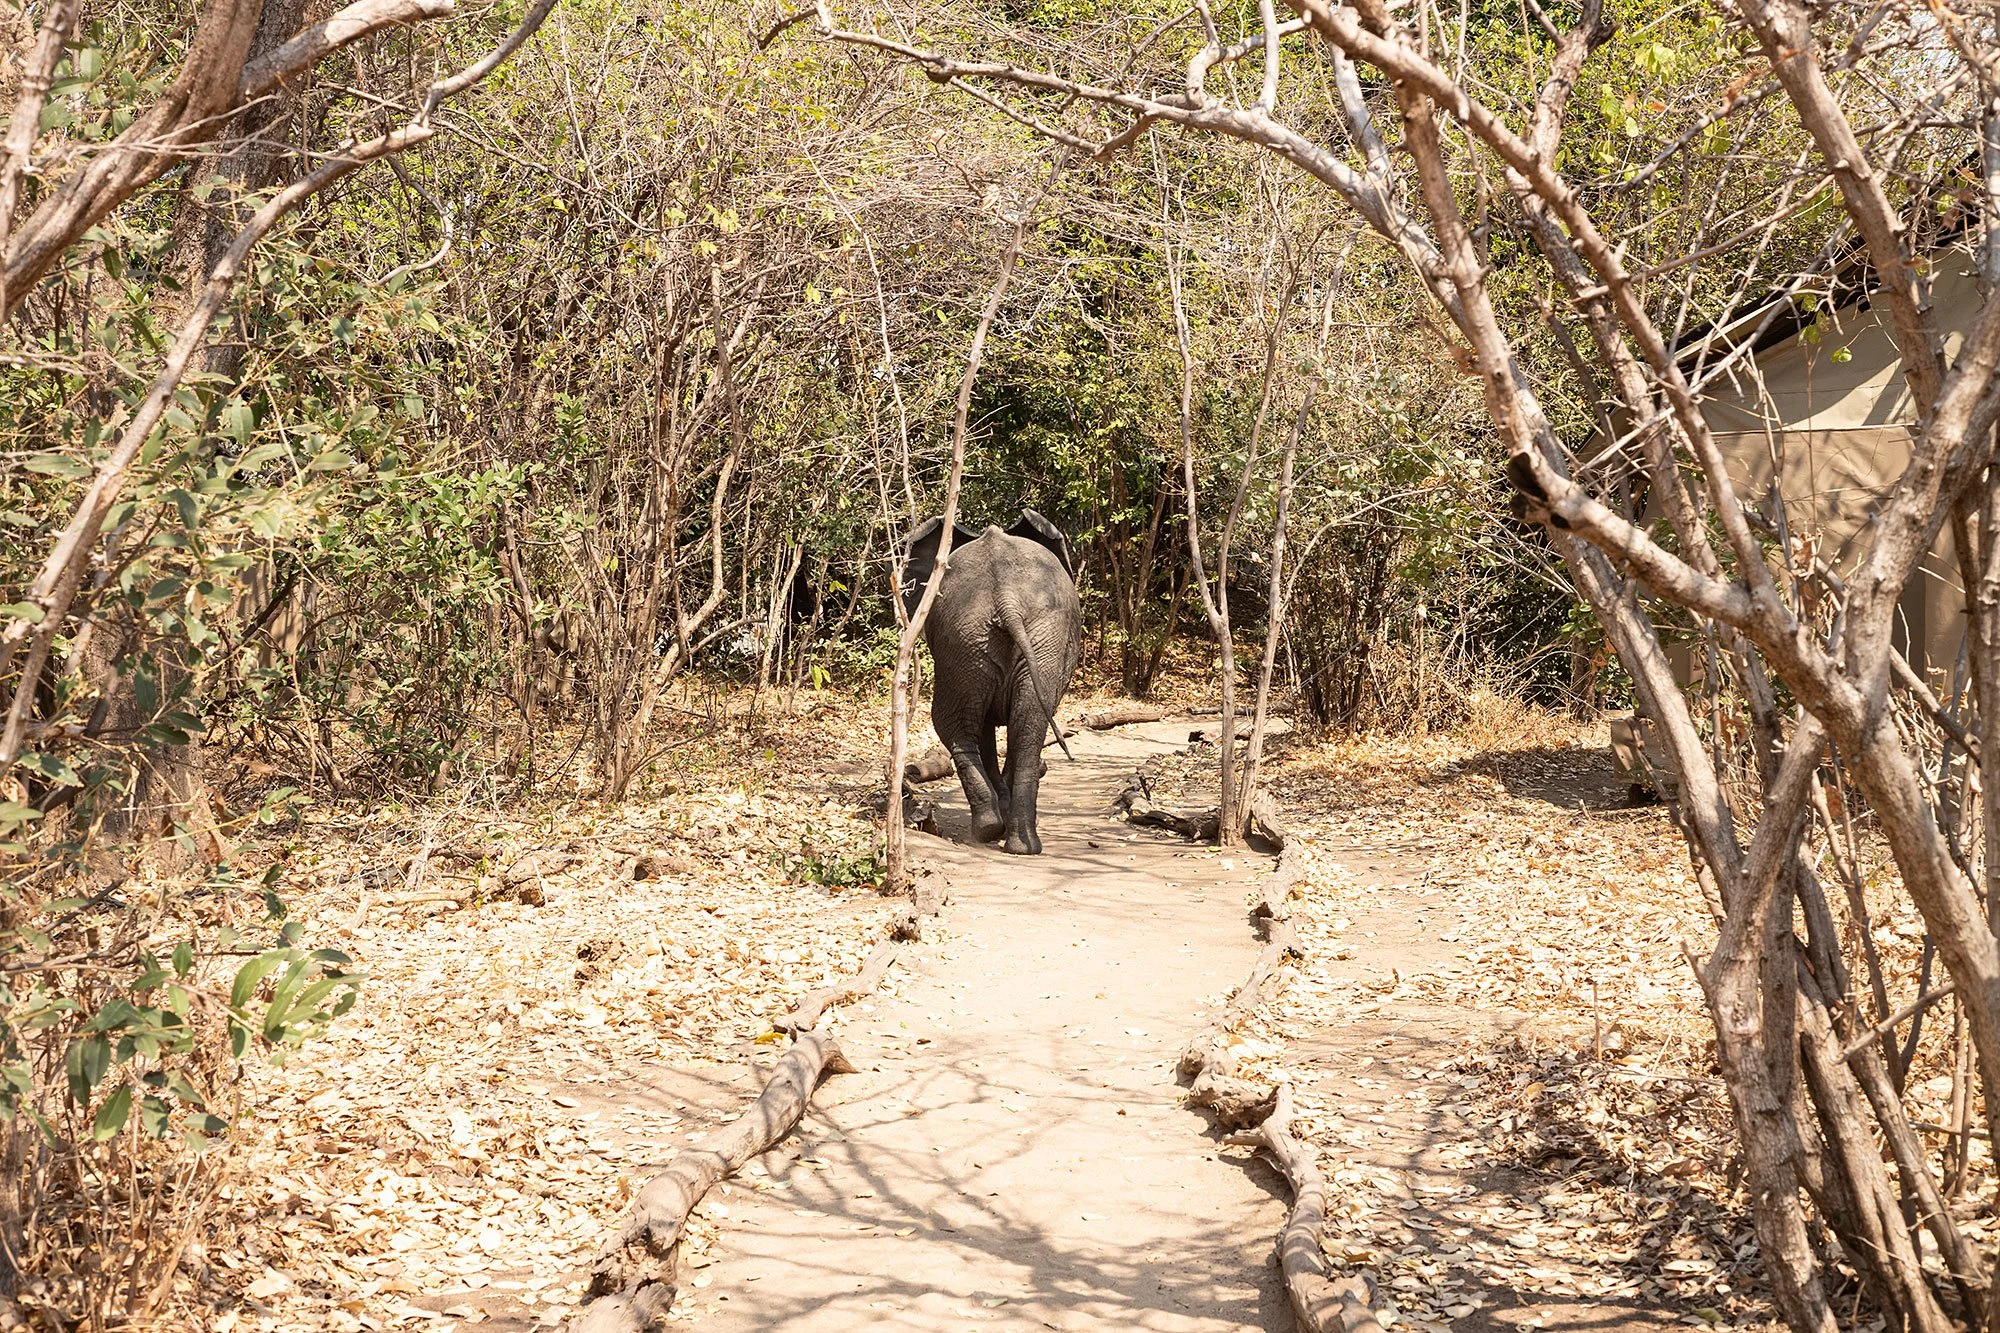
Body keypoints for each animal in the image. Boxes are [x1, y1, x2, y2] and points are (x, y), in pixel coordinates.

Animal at [900, 509, 1081, 855]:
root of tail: (1005, 596)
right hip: (973, 638)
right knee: (989, 724)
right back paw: (1003, 835)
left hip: (993, 635)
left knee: (1008, 724)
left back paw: (1006, 836)